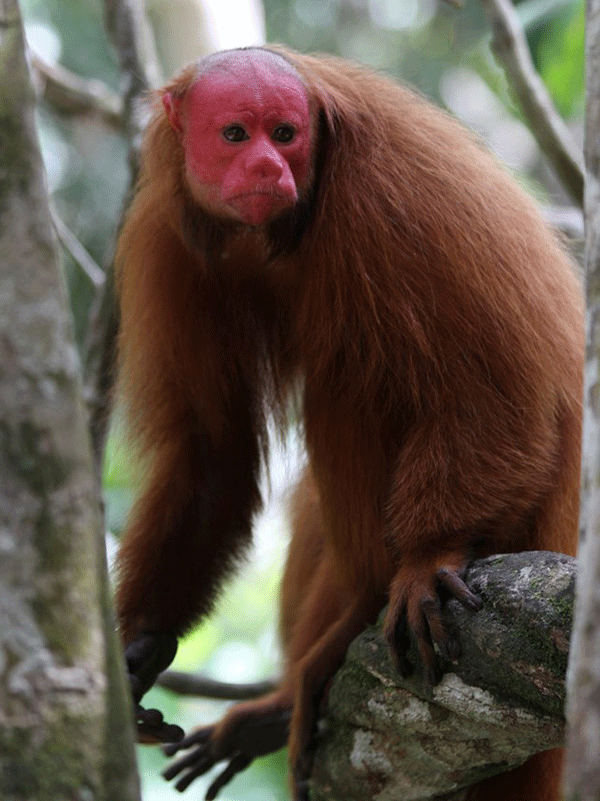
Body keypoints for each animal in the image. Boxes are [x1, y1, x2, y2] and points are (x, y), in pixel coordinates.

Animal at [113, 46, 583, 801]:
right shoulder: (170, 238)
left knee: (351, 380)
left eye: (285, 135)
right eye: (236, 135)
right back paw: (280, 707)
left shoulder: (396, 193)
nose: (268, 169)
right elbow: (211, 452)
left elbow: (493, 388)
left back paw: (360, 608)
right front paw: (139, 646)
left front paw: (429, 557)